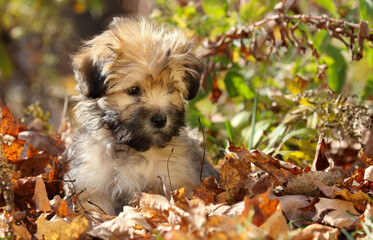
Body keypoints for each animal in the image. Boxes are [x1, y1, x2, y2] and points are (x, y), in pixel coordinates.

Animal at [65, 17, 218, 215]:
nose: (160, 119)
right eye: (133, 90)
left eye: (171, 89)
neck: (134, 147)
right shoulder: (94, 188)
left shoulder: (174, 180)